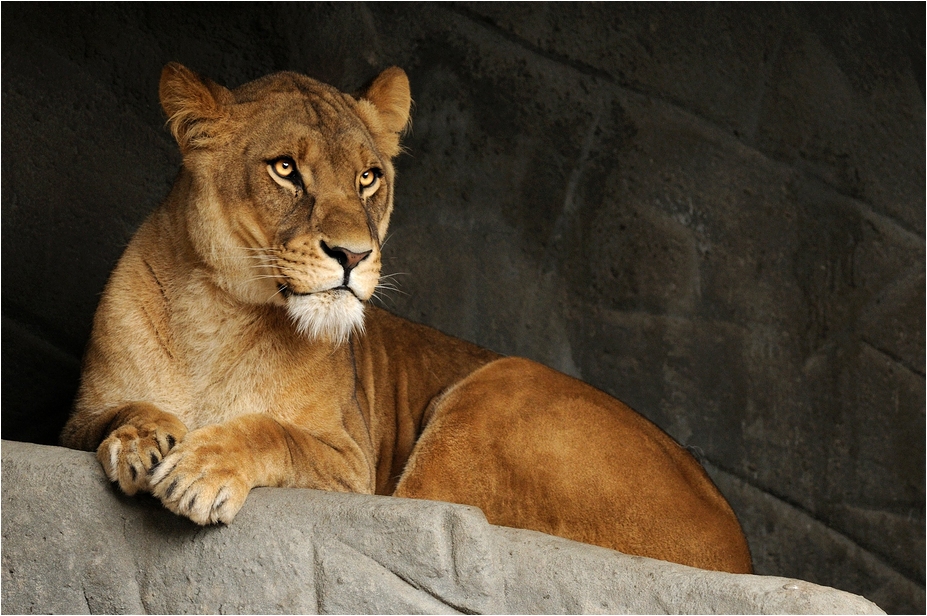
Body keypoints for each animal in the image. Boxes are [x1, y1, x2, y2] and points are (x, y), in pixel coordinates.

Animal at [60, 63, 752, 574]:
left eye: (369, 178)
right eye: (286, 168)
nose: (353, 255)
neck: (219, 316)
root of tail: (740, 558)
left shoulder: (352, 469)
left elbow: (273, 432)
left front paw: (202, 469)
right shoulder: (72, 423)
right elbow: (118, 412)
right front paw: (141, 437)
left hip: (496, 394)